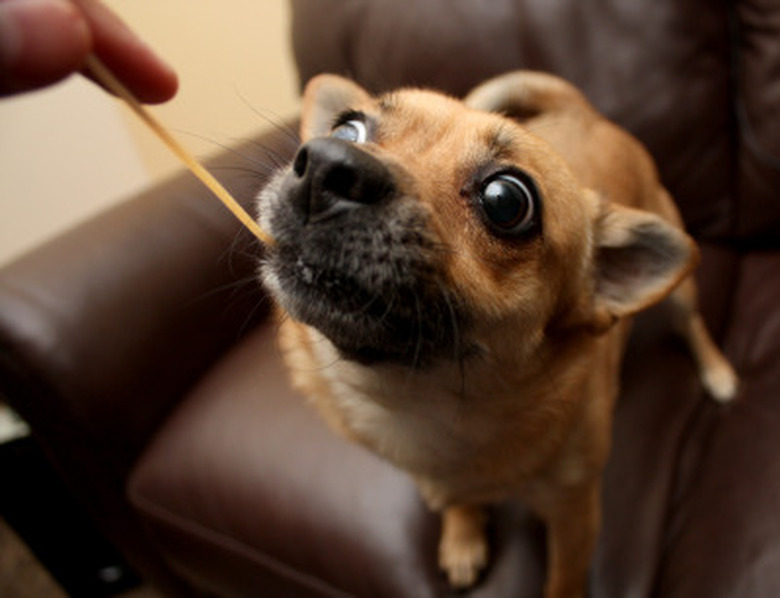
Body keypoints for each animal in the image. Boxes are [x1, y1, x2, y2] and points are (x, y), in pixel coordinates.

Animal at [258, 71, 736, 598]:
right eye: (348, 129)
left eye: (506, 201)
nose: (326, 162)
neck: (428, 405)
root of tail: (584, 113)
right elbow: (457, 502)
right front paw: (463, 535)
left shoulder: (575, 517)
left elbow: (563, 582)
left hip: (680, 289)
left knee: (691, 323)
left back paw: (718, 373)